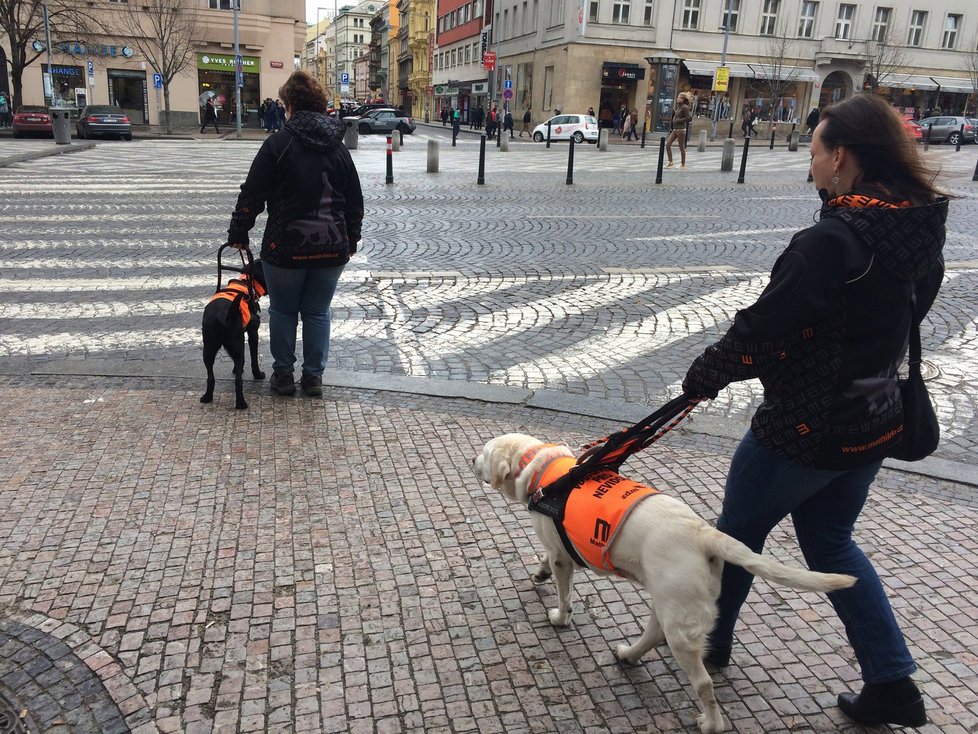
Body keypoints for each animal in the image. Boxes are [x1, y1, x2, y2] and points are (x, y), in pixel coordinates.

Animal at [200, 262, 266, 412]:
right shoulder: (253, 332)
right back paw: (241, 403)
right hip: (236, 346)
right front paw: (257, 374)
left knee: (210, 376)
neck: (247, 282)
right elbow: (254, 358)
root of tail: (223, 316)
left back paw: (207, 397)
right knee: (238, 381)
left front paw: (236, 370)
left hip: (208, 348)